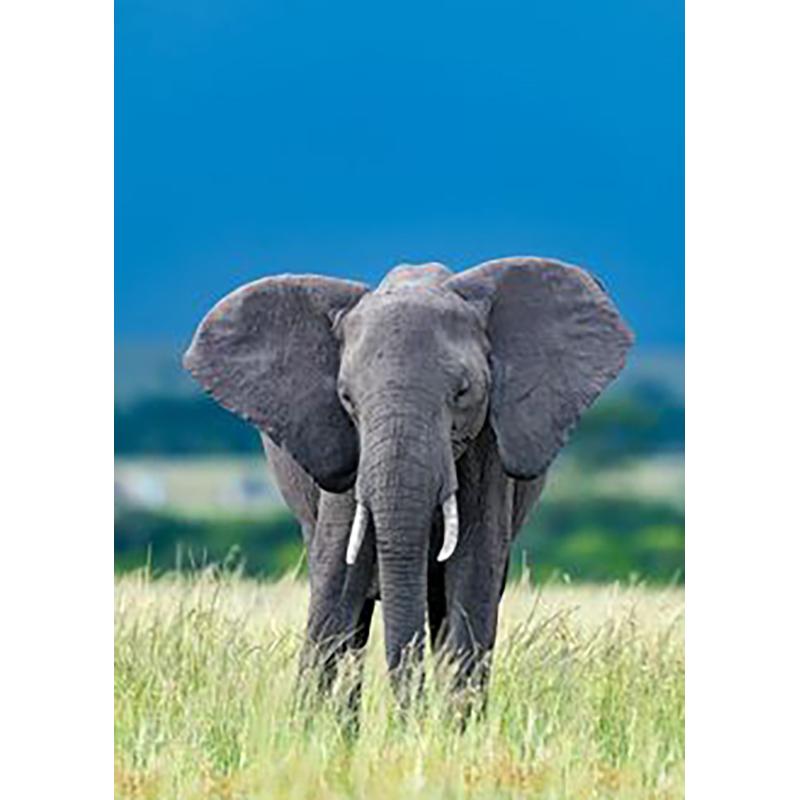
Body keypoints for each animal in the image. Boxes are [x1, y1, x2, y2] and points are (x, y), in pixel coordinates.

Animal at [183, 256, 633, 709]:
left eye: (463, 392)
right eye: (346, 398)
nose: (410, 715)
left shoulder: (486, 449)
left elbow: (472, 580)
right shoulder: (347, 455)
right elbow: (336, 586)